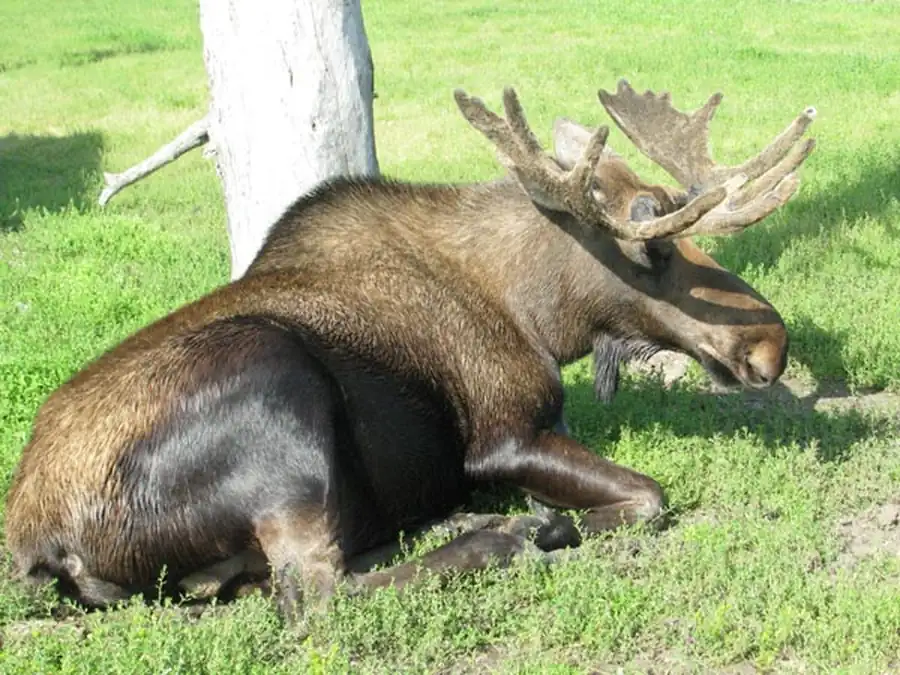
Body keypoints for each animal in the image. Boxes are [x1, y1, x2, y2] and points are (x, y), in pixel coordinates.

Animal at [3, 80, 816, 624]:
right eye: (654, 242)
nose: (770, 343)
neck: (540, 315)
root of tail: (41, 546)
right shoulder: (501, 434)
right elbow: (647, 496)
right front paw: (542, 521)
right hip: (275, 388)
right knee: (316, 599)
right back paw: (500, 536)